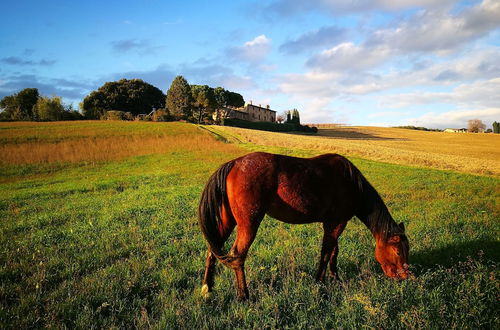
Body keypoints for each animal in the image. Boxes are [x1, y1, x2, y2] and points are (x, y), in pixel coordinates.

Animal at [197, 151, 408, 300]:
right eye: (398, 251)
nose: (404, 277)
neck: (351, 183)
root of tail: (234, 163)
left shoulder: (333, 224)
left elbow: (334, 252)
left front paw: (336, 278)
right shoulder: (335, 224)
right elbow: (326, 253)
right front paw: (320, 281)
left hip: (228, 221)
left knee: (212, 249)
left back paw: (207, 288)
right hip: (248, 224)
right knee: (238, 255)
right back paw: (243, 295)